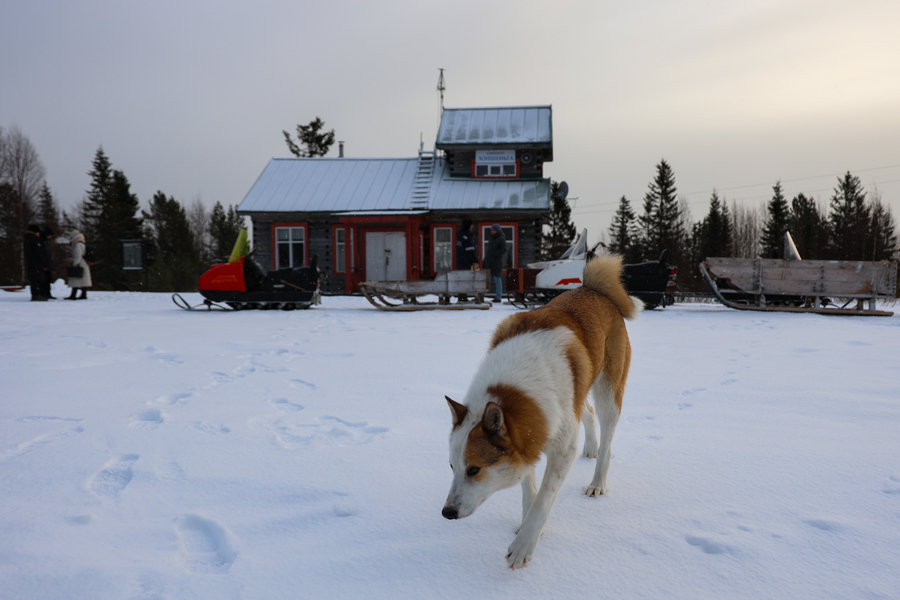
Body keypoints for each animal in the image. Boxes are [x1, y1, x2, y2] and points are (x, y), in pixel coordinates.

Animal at [442, 253, 640, 568]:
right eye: (452, 466)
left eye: (474, 469)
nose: (446, 513)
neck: (516, 382)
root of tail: (594, 289)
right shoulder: (531, 437)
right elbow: (528, 487)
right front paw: (525, 521)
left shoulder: (561, 448)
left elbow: (544, 500)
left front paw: (524, 544)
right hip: (579, 392)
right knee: (587, 411)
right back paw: (590, 447)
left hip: (609, 391)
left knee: (607, 438)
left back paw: (597, 481)